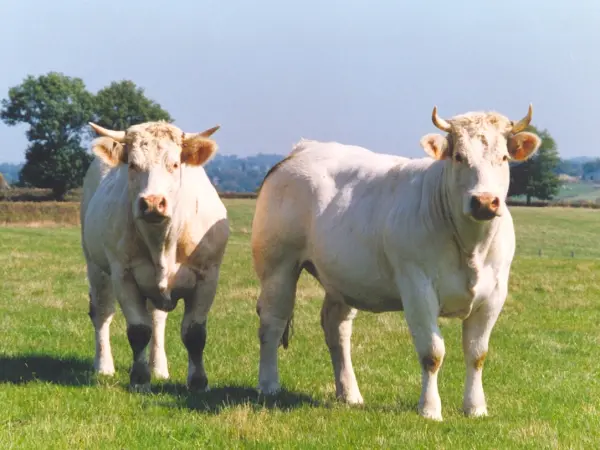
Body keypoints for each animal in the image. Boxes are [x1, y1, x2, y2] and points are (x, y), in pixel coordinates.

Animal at [80, 119, 230, 390]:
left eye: (174, 164)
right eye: (132, 164)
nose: (152, 203)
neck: (163, 242)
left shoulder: (208, 276)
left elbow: (194, 333)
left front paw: (198, 382)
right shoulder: (124, 275)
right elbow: (139, 330)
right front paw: (139, 379)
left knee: (157, 318)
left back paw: (159, 368)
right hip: (96, 268)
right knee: (102, 313)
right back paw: (104, 366)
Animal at [251, 104, 540, 418]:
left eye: (504, 157)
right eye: (459, 157)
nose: (485, 201)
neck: (470, 247)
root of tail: (303, 149)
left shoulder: (494, 295)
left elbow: (477, 354)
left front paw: (475, 408)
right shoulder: (417, 288)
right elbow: (432, 353)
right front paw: (430, 409)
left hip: (343, 277)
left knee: (336, 328)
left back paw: (349, 394)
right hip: (278, 266)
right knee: (272, 322)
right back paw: (269, 385)